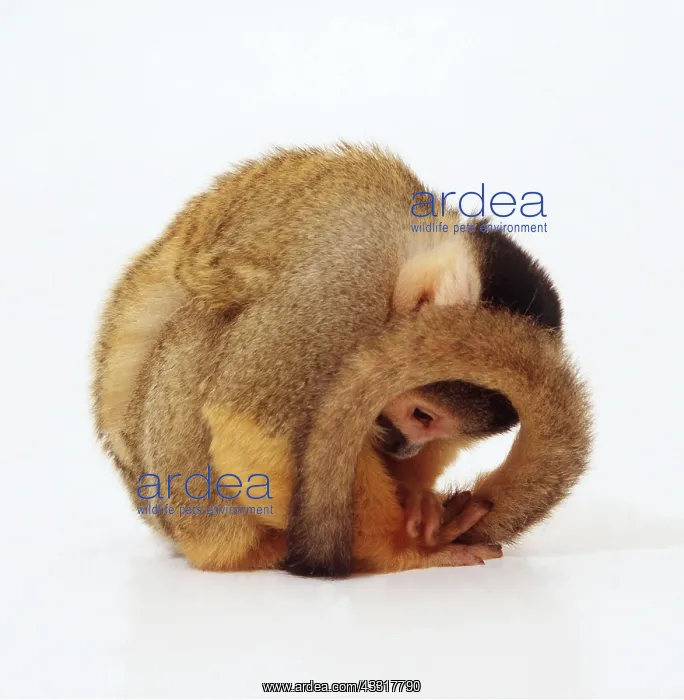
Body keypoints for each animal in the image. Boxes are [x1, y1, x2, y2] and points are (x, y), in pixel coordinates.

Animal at [92, 144, 566, 577]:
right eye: (422, 415)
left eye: (432, 428)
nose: (405, 447)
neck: (408, 245)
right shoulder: (345, 284)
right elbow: (249, 424)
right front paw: (400, 546)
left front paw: (416, 501)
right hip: (186, 504)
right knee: (202, 328)